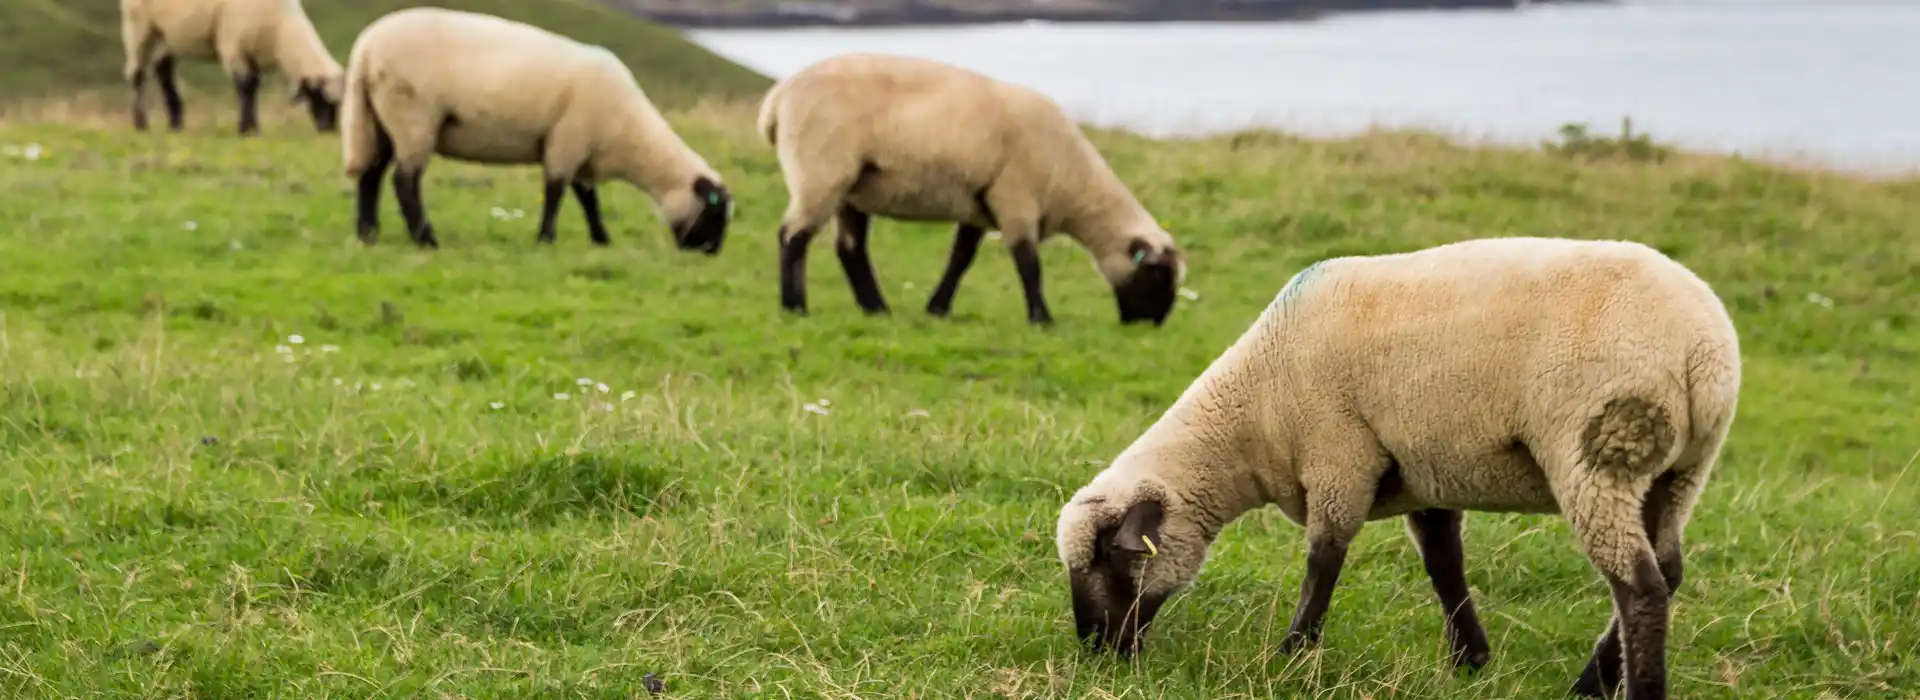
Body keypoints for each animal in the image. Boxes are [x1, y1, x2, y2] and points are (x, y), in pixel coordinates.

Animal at [119, 0, 345, 134]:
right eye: (318, 97)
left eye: (339, 104)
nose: (329, 130)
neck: (281, 32)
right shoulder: (232, 46)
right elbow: (244, 86)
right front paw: (245, 128)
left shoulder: (253, 56)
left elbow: (253, 87)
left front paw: (253, 127)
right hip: (139, 25)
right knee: (136, 73)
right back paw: (141, 124)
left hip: (171, 34)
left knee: (162, 67)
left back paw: (176, 124)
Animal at [334, 6, 729, 251]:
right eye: (715, 211)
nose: (710, 253)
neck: (631, 138)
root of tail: (365, 48)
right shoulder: (569, 138)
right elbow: (556, 191)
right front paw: (546, 239)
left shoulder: (580, 148)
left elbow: (588, 199)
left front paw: (601, 239)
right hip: (413, 115)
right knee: (404, 181)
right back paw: (426, 239)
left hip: (379, 118)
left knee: (370, 175)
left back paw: (368, 234)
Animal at [752, 53, 1182, 326]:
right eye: (1158, 276)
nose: (1152, 325)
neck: (1073, 183)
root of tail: (777, 100)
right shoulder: (1015, 197)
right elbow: (1028, 263)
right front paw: (1042, 319)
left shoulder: (980, 205)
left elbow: (961, 259)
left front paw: (938, 308)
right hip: (820, 171)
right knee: (793, 237)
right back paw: (795, 306)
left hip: (851, 187)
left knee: (850, 248)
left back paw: (875, 308)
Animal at [1052, 235, 1743, 698]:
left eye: (1111, 556)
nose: (1097, 649)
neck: (1252, 414)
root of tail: (1705, 354)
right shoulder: (1422, 468)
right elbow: (1444, 565)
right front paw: (1470, 660)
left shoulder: (1339, 455)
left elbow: (1323, 562)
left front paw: (1292, 657)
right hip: (1677, 472)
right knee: (1668, 569)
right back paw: (1593, 681)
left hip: (1597, 452)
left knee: (1641, 585)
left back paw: (1623, 688)